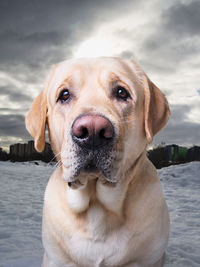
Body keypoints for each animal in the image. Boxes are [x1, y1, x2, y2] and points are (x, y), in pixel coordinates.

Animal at [25, 57, 170, 266]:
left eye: (121, 92)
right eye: (64, 95)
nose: (92, 131)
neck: (96, 206)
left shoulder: (150, 259)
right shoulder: (56, 258)